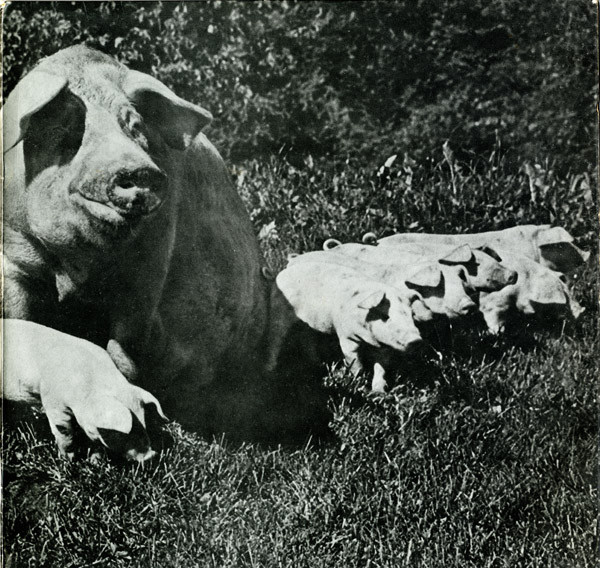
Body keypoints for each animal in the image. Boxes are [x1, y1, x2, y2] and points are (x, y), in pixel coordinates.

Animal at [3, 318, 168, 462]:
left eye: (144, 422)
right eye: (123, 434)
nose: (151, 456)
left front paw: (95, 461)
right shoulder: (54, 401)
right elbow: (64, 432)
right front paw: (68, 461)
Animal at [276, 262, 425, 392]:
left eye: (411, 314)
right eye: (385, 316)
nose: (416, 340)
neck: (369, 339)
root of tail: (281, 274)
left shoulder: (384, 347)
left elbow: (381, 368)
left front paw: (379, 392)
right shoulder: (347, 336)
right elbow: (355, 363)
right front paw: (360, 385)